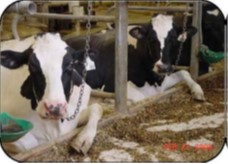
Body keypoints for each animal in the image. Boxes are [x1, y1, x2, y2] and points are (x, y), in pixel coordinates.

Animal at [65, 14, 205, 102]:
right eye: (151, 39)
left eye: (174, 39)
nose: (163, 67)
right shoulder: (110, 86)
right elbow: (141, 97)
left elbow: (185, 72)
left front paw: (198, 91)